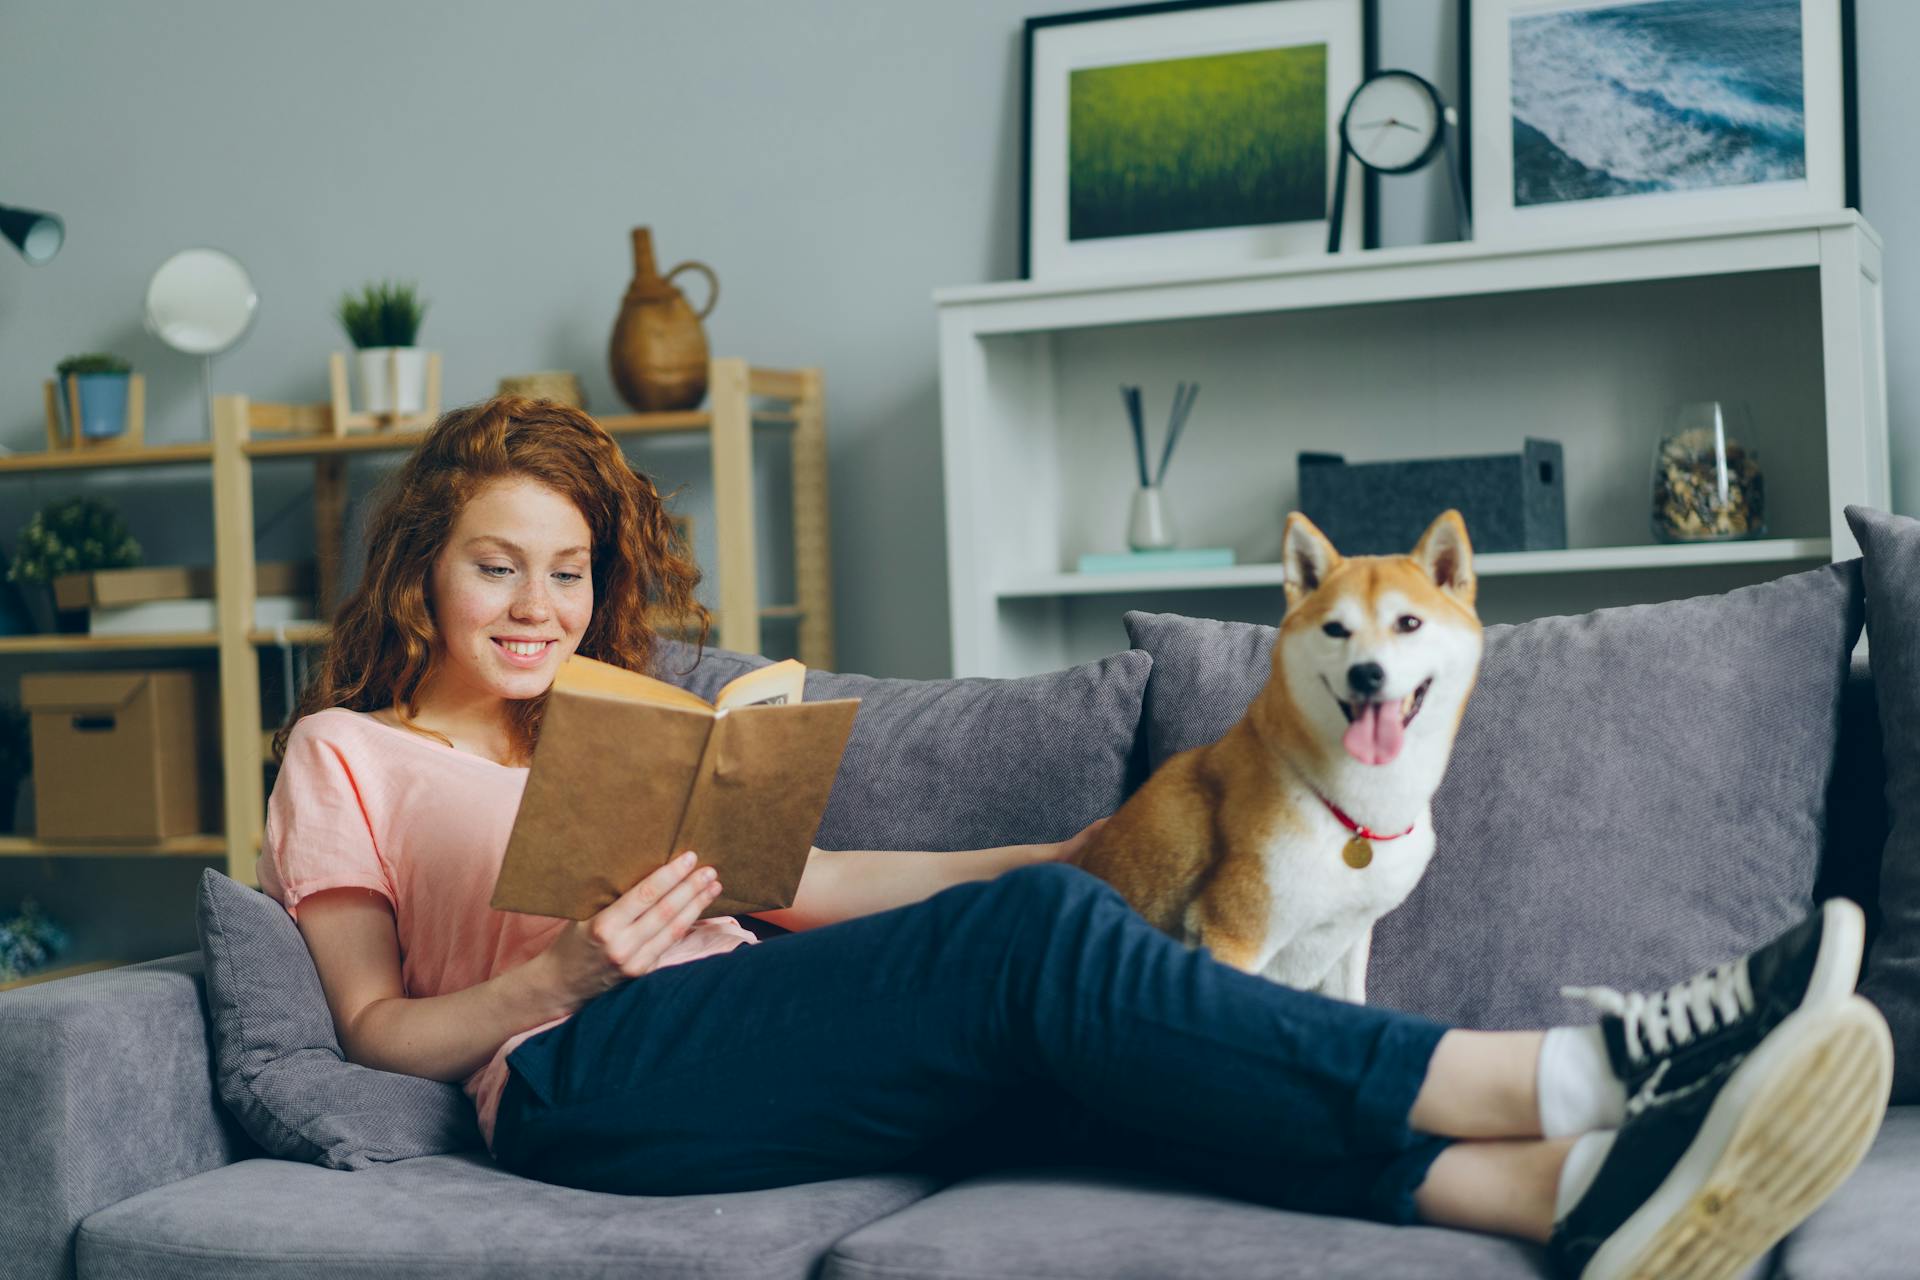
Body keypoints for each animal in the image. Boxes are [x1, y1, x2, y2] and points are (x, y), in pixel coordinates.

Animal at [1082, 506, 1482, 997]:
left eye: (1408, 623)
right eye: (1335, 629)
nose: (1365, 673)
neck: (1358, 813)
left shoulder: (1349, 941)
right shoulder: (1234, 935)